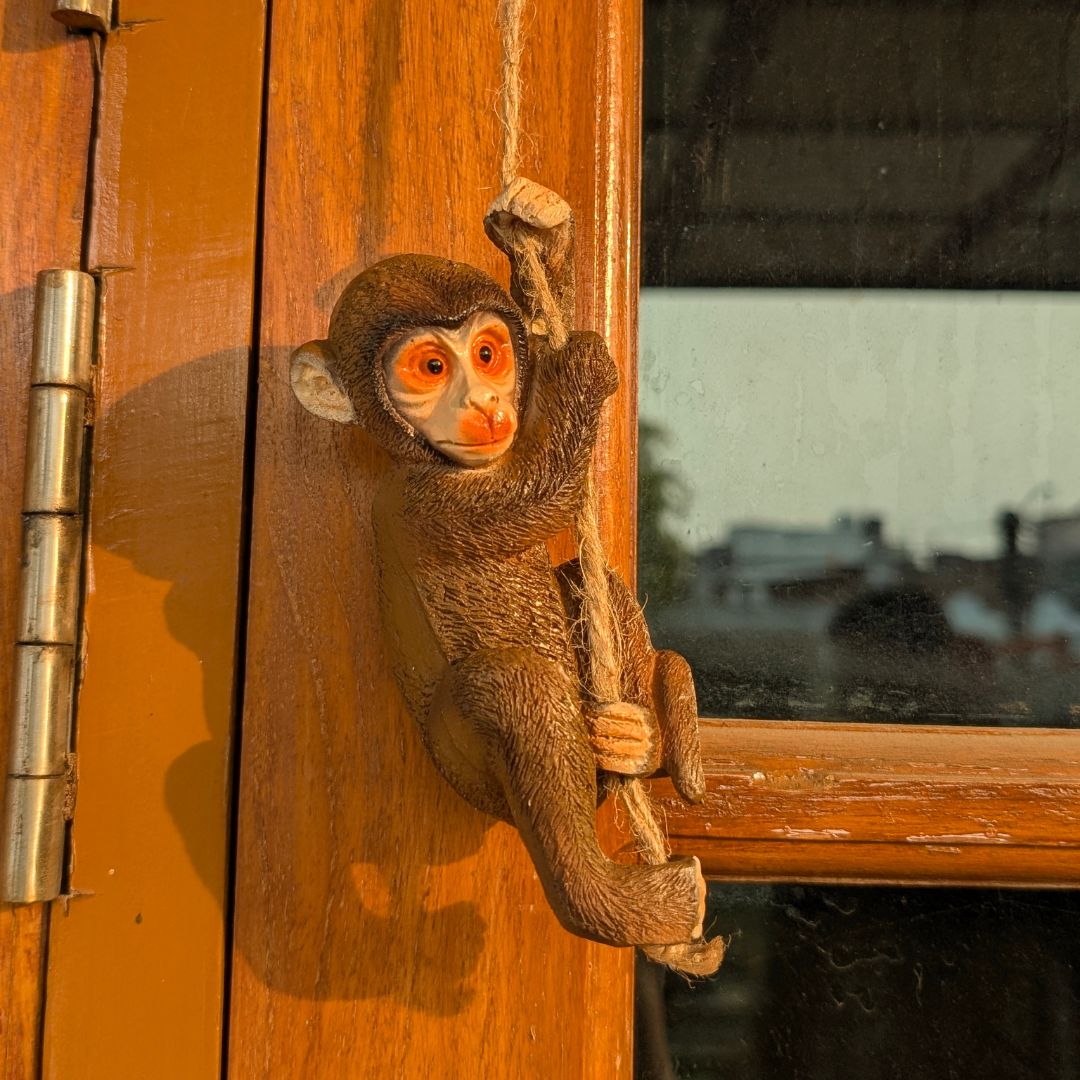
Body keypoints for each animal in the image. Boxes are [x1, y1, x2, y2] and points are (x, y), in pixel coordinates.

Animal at [290, 181, 710, 952]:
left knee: (586, 582)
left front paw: (545, 237)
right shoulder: (427, 504)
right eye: (431, 368)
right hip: (465, 766)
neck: (431, 459)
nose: (485, 405)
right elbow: (539, 494)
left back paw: (640, 739)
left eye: (488, 353)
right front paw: (580, 370)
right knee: (518, 691)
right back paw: (627, 903)